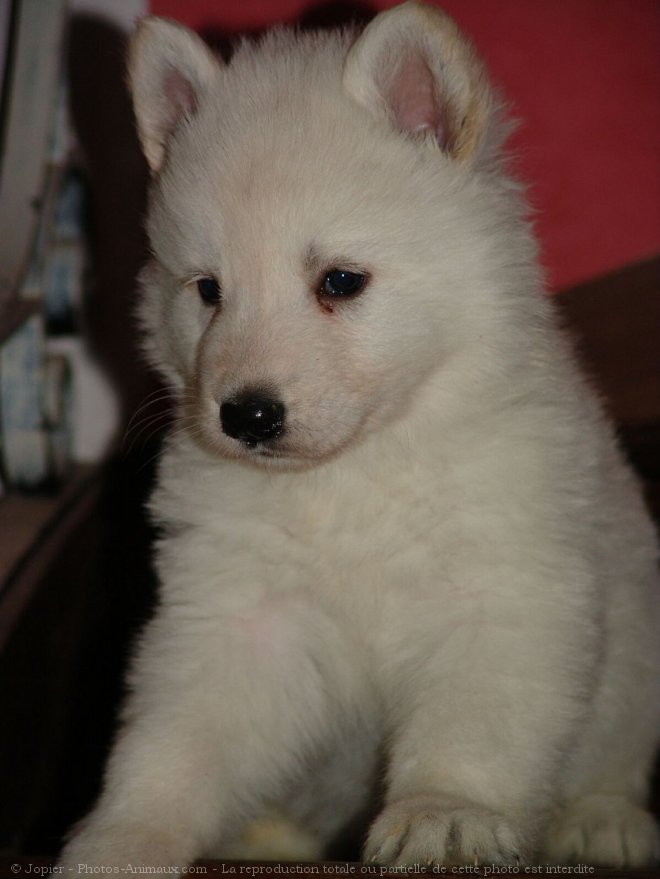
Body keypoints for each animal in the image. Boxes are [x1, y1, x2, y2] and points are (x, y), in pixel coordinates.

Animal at [59, 3, 656, 872]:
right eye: (207, 290)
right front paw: (126, 836)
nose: (246, 415)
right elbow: (180, 734)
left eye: (340, 281)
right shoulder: (240, 612)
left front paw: (446, 812)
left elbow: (471, 726)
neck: (353, 471)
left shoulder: (505, 586)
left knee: (614, 760)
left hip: (634, 668)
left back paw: (605, 821)